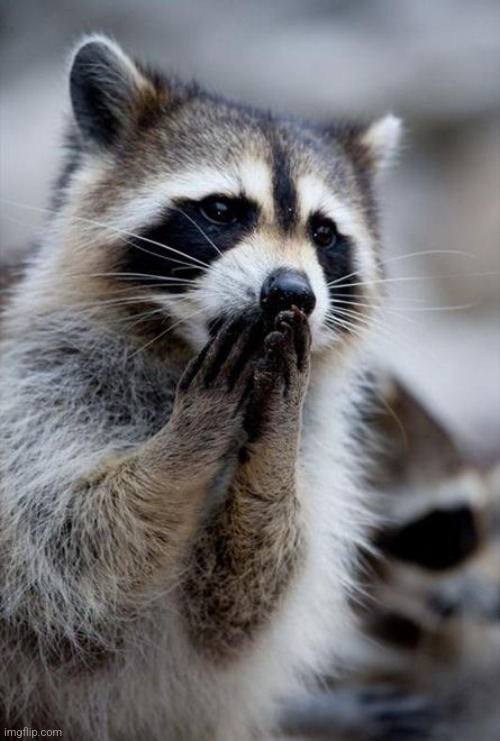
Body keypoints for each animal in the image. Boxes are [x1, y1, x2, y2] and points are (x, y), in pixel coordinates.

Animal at [0, 35, 401, 740]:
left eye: (323, 233)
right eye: (221, 211)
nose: (291, 292)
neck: (181, 351)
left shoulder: (320, 456)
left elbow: (237, 605)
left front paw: (270, 455)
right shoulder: (33, 390)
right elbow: (64, 550)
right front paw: (186, 442)